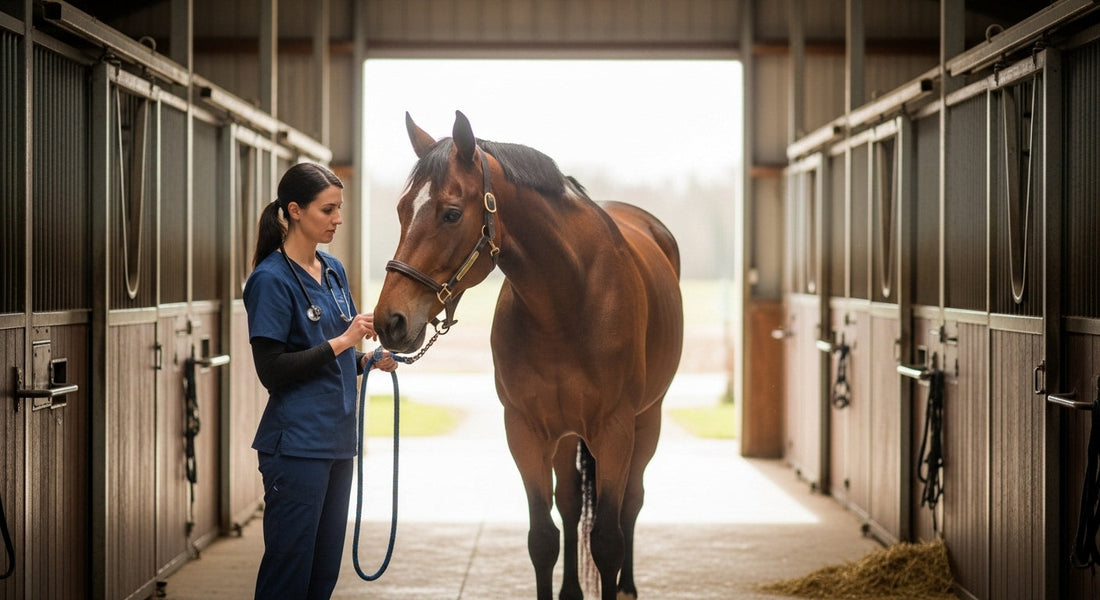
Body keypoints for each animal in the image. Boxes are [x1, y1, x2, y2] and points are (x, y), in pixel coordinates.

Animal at [373, 110, 684, 600]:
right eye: (403, 209)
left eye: (451, 213)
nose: (390, 321)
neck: (568, 301)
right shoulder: (525, 430)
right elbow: (543, 538)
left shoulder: (614, 430)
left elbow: (608, 540)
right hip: (566, 433)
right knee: (571, 504)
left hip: (645, 421)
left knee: (631, 503)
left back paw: (629, 587)